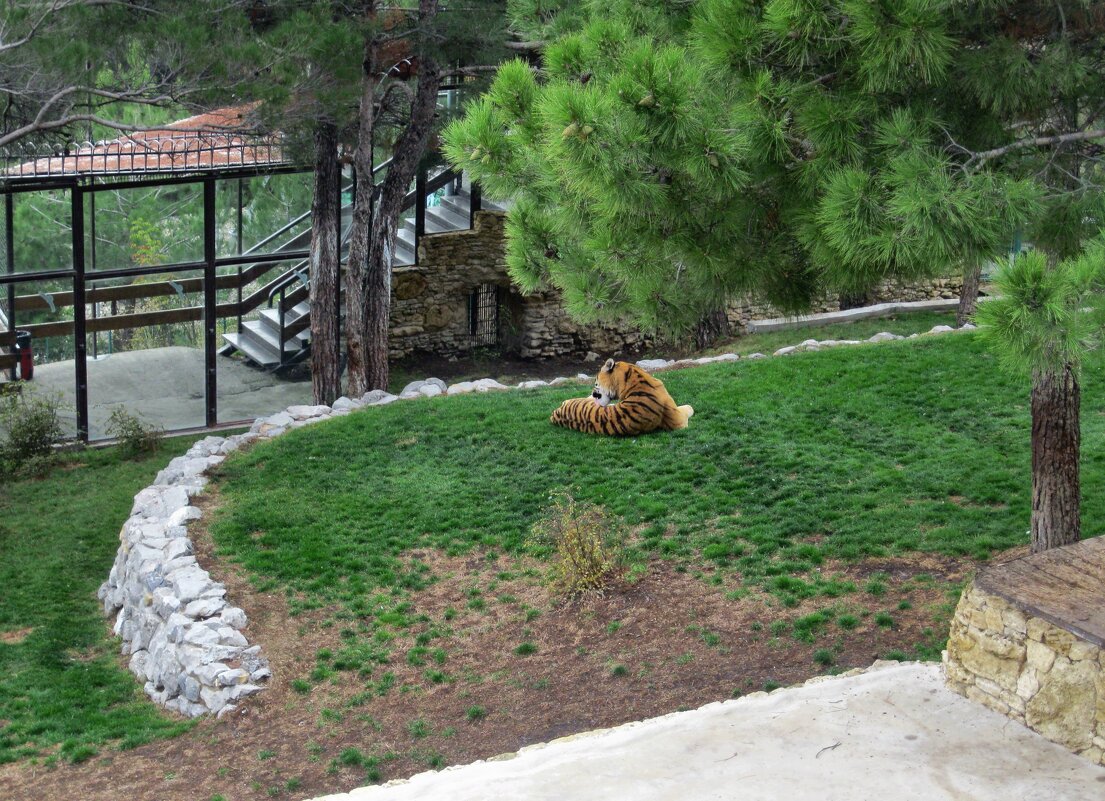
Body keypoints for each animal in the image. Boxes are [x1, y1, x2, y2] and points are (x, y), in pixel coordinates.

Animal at [550, 355, 693, 430]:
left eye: (595, 383)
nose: (594, 393)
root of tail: (556, 413)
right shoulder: (678, 420)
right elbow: (687, 408)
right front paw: (689, 407)